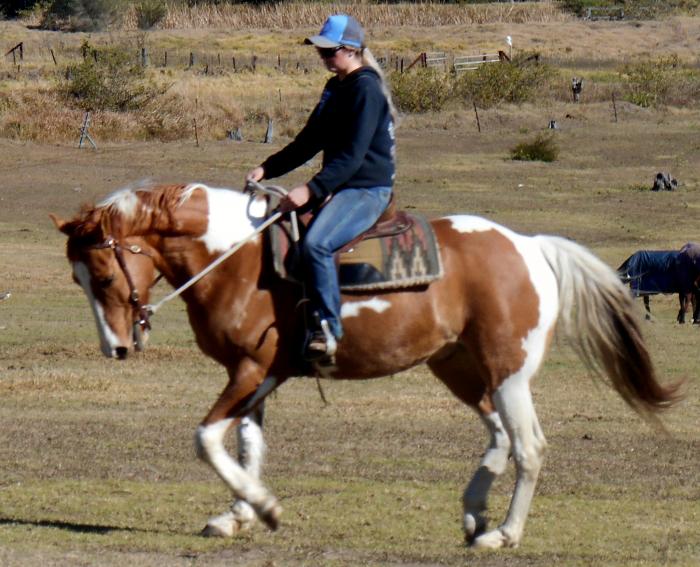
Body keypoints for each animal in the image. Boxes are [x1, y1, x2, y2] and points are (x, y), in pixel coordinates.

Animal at [51, 182, 680, 550]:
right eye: (78, 280)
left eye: (102, 275)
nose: (116, 348)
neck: (238, 258)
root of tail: (528, 246)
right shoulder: (259, 376)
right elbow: (249, 446)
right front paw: (238, 514)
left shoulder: (250, 370)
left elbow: (206, 439)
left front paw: (263, 508)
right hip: (458, 369)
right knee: (500, 436)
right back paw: (474, 514)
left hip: (509, 372)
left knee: (529, 446)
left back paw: (503, 533)